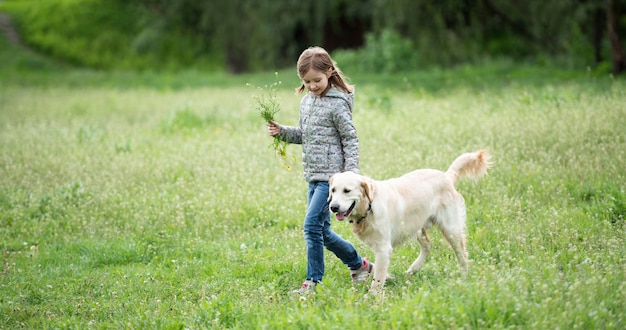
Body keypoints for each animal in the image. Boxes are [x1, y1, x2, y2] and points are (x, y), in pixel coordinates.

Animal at [324, 151, 490, 292]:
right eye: (333, 190)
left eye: (347, 191)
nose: (333, 207)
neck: (369, 207)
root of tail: (446, 176)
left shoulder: (383, 249)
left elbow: (378, 278)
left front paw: (372, 297)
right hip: (416, 227)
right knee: (428, 246)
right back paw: (413, 269)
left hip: (450, 229)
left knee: (461, 254)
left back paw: (464, 276)